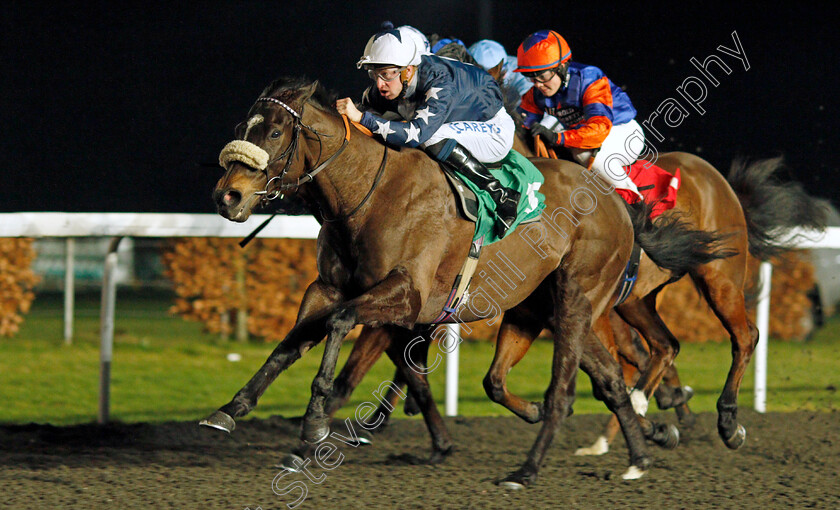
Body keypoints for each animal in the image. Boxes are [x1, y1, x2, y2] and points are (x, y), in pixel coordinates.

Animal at [202, 76, 720, 486]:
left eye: (274, 131)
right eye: (241, 129)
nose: (227, 196)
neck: (368, 192)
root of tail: (616, 198)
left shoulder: (406, 297)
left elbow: (338, 326)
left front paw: (313, 426)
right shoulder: (327, 287)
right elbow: (291, 341)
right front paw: (230, 410)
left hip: (578, 298)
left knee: (569, 388)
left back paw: (529, 468)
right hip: (551, 307)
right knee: (608, 379)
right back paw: (639, 454)